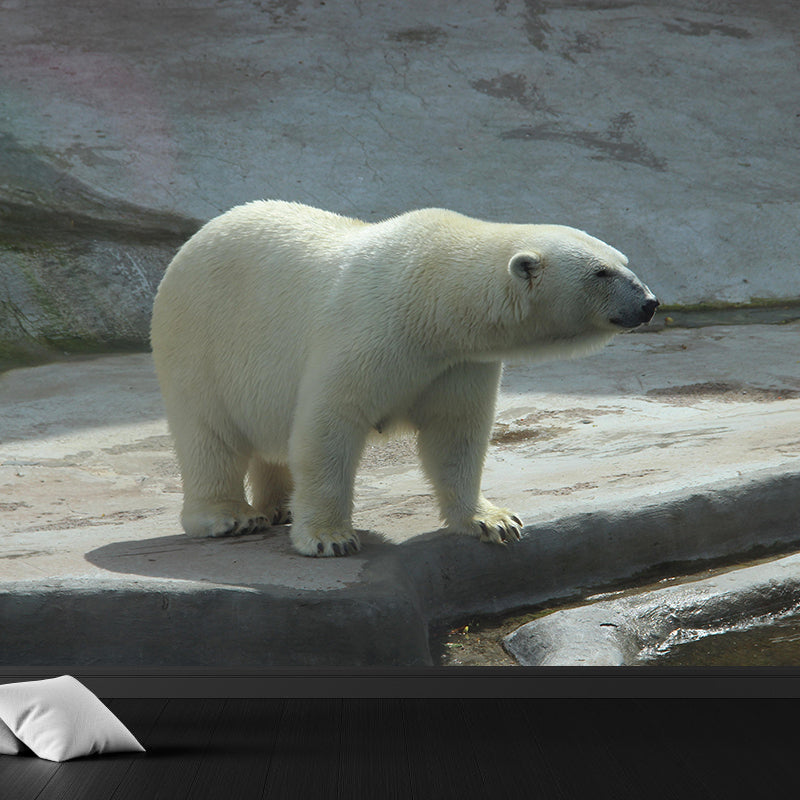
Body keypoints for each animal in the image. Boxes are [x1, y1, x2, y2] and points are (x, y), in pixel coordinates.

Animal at [150, 201, 658, 557]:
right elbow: (329, 425)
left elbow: (455, 434)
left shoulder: (458, 362)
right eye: (601, 272)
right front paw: (330, 538)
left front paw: (494, 522)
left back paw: (280, 505)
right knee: (209, 434)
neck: (432, 299)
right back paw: (230, 516)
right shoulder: (369, 331)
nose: (649, 302)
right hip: (199, 339)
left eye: (624, 260)